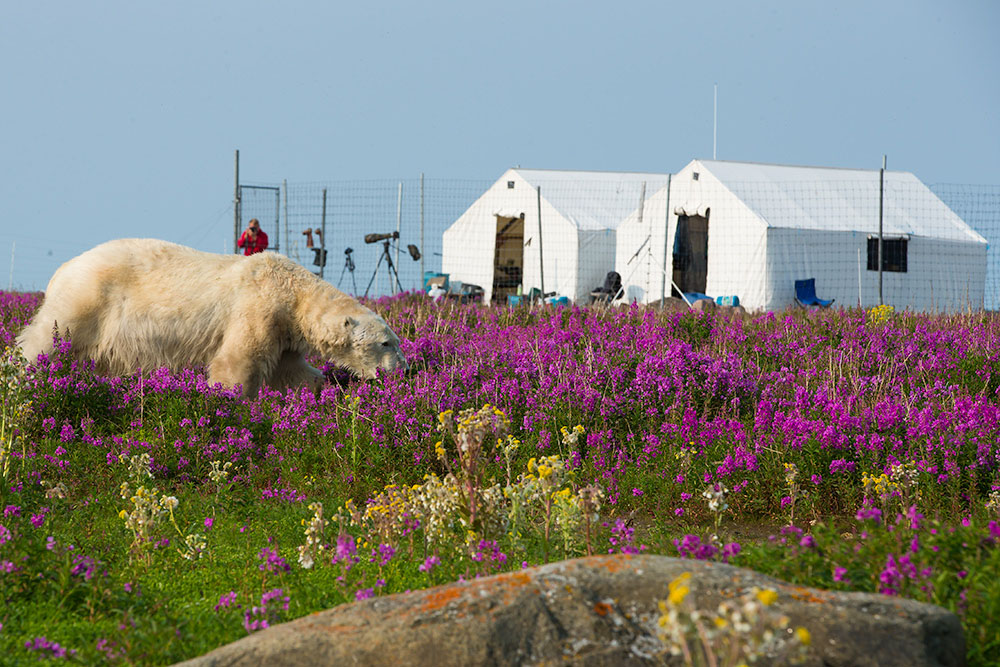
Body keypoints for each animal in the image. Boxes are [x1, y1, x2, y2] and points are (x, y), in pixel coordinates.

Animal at [16, 240, 406, 396]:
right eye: (386, 342)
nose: (404, 369)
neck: (293, 291)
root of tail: (61, 270)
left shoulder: (283, 331)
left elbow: (292, 370)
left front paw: (316, 390)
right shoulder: (257, 308)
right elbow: (237, 362)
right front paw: (230, 400)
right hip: (88, 300)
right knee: (45, 341)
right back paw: (25, 374)